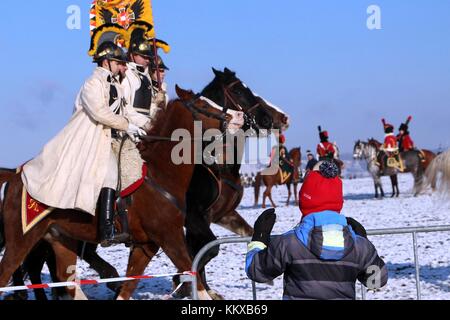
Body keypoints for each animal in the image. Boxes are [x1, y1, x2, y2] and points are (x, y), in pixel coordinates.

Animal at [0, 85, 239, 300]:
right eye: (203, 105)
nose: (239, 116)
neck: (161, 172)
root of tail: (16, 178)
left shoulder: (147, 245)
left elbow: (128, 286)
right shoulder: (170, 237)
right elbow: (193, 275)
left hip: (60, 239)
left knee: (66, 279)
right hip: (22, 241)